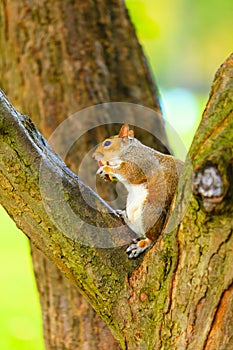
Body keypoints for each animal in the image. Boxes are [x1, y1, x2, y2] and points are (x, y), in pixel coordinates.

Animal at [92, 124, 183, 258]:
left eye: (107, 143)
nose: (93, 156)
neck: (129, 150)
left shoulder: (140, 161)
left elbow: (129, 173)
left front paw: (106, 169)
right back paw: (125, 217)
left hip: (149, 213)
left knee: (152, 237)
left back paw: (141, 245)